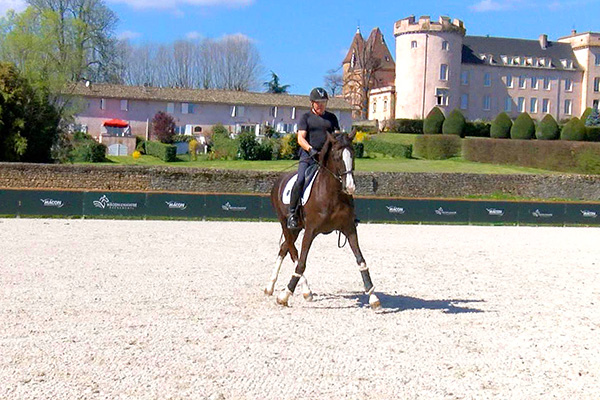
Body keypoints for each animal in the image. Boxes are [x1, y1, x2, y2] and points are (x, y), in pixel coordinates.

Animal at [266, 131, 380, 310]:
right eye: (337, 156)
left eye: (353, 154)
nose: (350, 187)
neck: (332, 194)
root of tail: (279, 179)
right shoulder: (311, 230)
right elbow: (301, 262)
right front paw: (284, 296)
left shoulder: (349, 229)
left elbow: (361, 261)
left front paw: (373, 297)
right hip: (286, 224)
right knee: (292, 252)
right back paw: (304, 291)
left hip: (296, 229)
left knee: (284, 248)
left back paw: (270, 287)